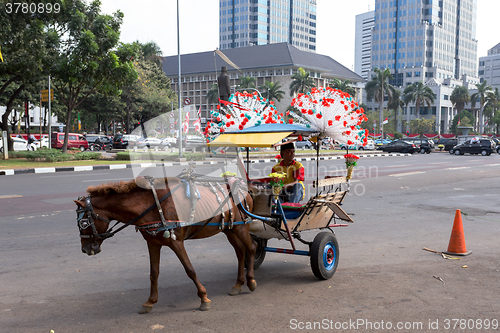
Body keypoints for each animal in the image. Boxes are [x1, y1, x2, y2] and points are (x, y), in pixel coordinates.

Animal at [74, 175, 258, 312]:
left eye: (83, 222)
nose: (85, 249)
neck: (152, 205)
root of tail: (243, 187)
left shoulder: (177, 242)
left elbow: (190, 270)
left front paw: (204, 297)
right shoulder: (153, 243)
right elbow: (154, 273)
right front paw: (150, 301)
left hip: (242, 227)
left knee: (251, 248)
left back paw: (250, 281)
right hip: (230, 229)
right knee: (240, 252)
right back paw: (238, 284)